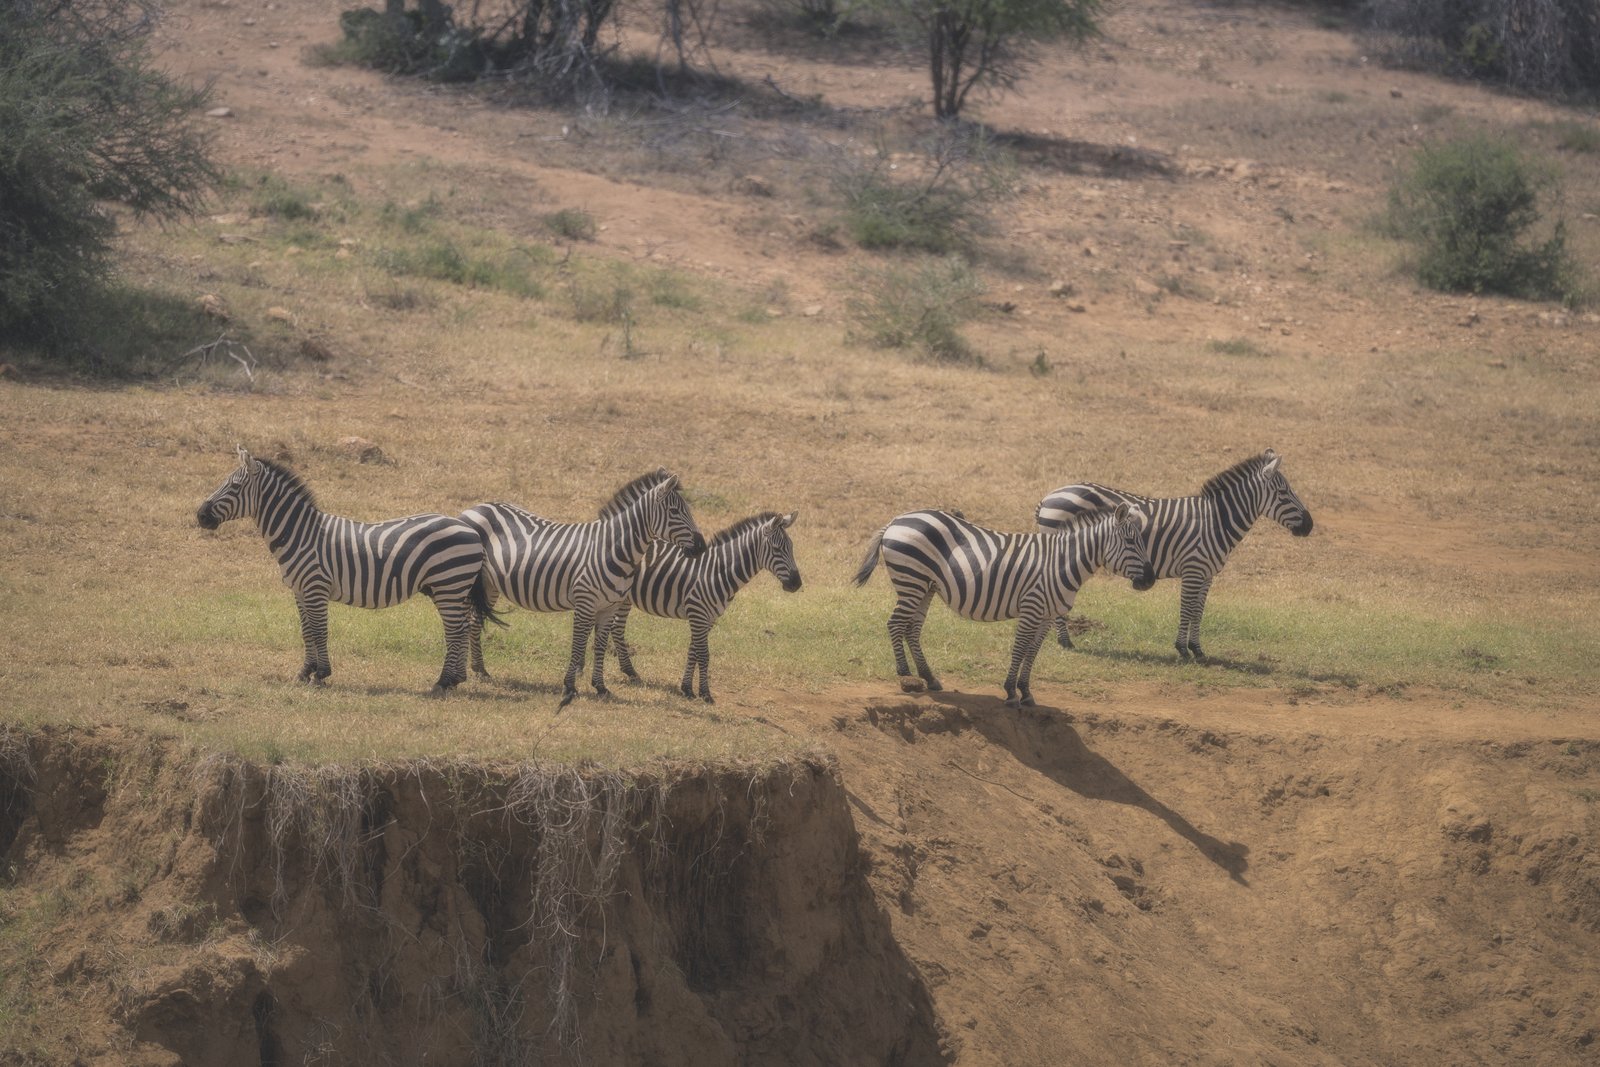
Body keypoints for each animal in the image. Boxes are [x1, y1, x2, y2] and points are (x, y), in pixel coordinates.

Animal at [195, 447, 497, 696]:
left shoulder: (315, 587)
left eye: (234, 486)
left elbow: (319, 631)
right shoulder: (300, 591)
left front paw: (321, 675)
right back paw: (455, 680)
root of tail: (470, 529)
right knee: (460, 628)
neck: (301, 534)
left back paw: (443, 682)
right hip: (449, 588)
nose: (200, 515)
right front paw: (304, 672)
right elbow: (306, 631)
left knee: (455, 630)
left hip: (449, 584)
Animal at [461, 470, 706, 708]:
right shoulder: (585, 601)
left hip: (489, 584)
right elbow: (579, 644)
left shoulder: (609, 606)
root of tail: (476, 507)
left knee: (474, 621)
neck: (611, 548)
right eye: (674, 511)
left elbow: (599, 645)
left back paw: (480, 670)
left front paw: (600, 686)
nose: (702, 546)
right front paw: (570, 685)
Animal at [597, 511, 802, 704]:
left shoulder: (709, 617)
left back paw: (630, 672)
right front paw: (705, 694)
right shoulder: (697, 612)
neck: (717, 571)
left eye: (791, 548)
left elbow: (693, 651)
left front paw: (687, 688)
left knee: (616, 627)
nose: (797, 584)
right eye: (777, 549)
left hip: (624, 598)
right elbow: (703, 655)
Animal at [852, 504, 1155, 707]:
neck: (1060, 562)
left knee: (912, 628)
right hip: (911, 578)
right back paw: (906, 679)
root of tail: (897, 519)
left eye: (1142, 540)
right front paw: (1010, 691)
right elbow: (1019, 649)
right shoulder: (1032, 607)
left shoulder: (1047, 616)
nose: (1151, 579)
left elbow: (1032, 652)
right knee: (895, 623)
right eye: (1131, 541)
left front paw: (1026, 692)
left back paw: (930, 678)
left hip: (925, 585)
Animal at [1035, 449, 1313, 660]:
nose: (1310, 525)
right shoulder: (1193, 569)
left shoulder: (1207, 574)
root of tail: (1048, 496)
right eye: (1283, 493)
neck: (1216, 521)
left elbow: (1198, 611)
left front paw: (1197, 650)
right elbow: (1187, 609)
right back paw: (1065, 641)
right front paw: (1182, 649)